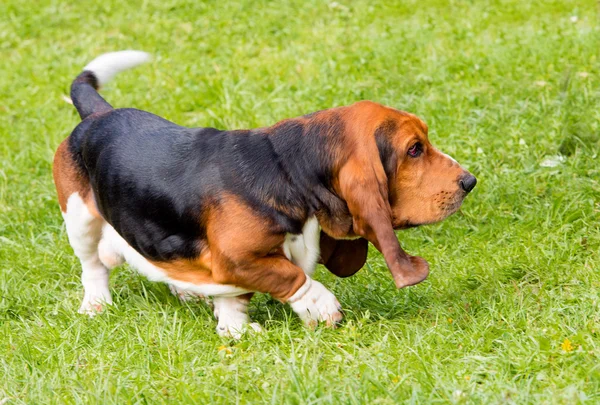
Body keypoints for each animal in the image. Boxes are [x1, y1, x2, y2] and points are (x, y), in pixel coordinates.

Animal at [54, 50, 476, 338]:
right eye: (414, 150)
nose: (470, 181)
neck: (288, 169)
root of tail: (98, 114)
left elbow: (236, 298)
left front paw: (234, 329)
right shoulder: (237, 257)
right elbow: (291, 275)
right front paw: (321, 306)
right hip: (80, 219)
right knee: (93, 266)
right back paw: (96, 304)